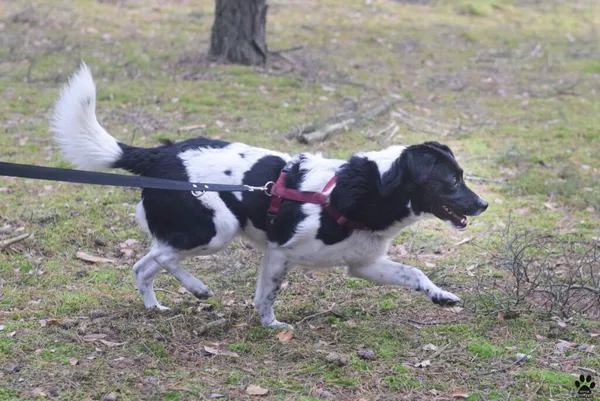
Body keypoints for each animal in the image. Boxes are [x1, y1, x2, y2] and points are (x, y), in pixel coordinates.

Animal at [48, 64, 488, 328]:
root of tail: (161, 154)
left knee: (145, 264)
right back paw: (197, 288)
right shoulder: (280, 253)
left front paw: (441, 296)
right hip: (215, 230)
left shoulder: (363, 264)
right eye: (451, 181)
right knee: (158, 260)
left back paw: (156, 306)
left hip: (192, 232)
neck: (370, 187)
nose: (483, 204)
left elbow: (414, 273)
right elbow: (268, 293)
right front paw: (271, 325)